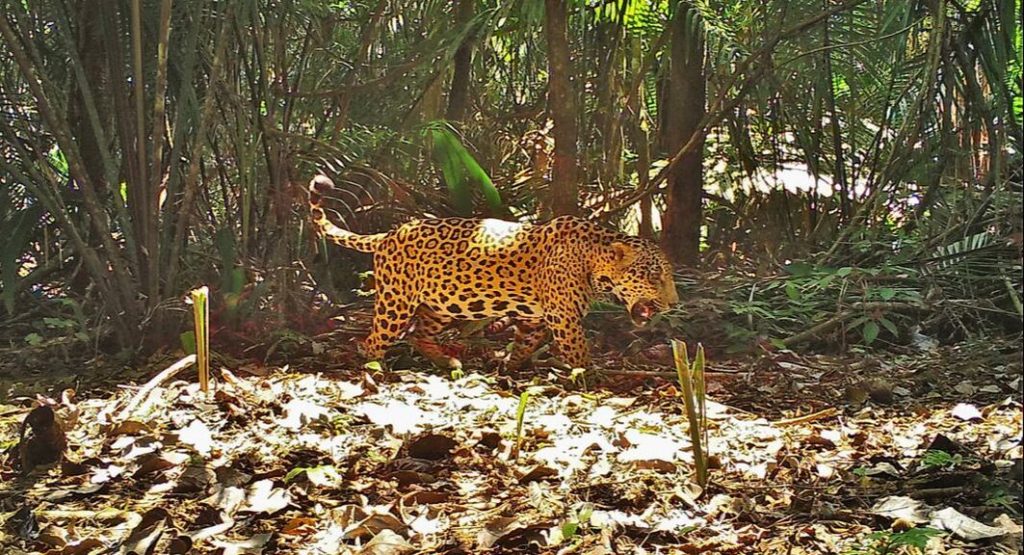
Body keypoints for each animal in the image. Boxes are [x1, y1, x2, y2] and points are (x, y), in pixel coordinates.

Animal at [309, 174, 679, 370]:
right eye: (653, 276)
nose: (674, 303)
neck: (593, 259)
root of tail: (388, 234)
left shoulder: (535, 316)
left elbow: (526, 342)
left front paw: (512, 365)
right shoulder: (564, 318)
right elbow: (577, 350)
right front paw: (589, 375)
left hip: (441, 303)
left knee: (420, 333)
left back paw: (446, 361)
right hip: (396, 302)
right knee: (375, 339)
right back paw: (373, 365)